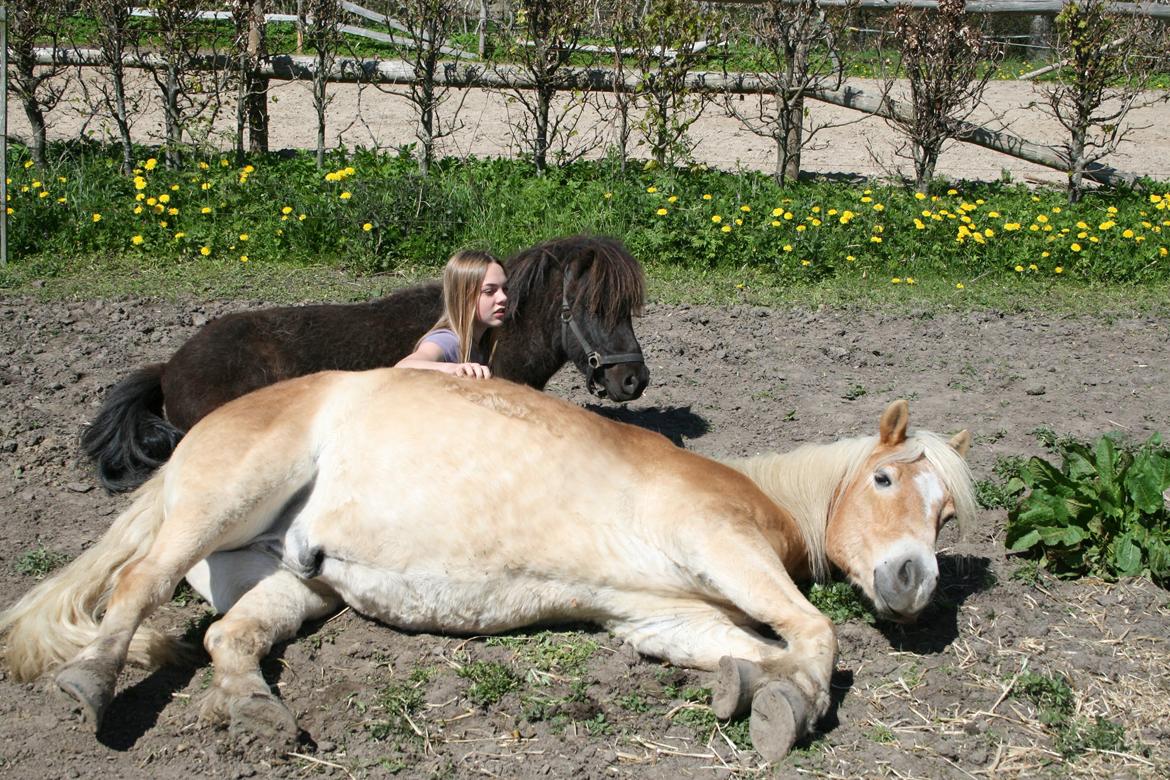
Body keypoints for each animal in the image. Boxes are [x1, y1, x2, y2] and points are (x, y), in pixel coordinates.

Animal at [0, 374, 973, 757]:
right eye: (885, 478)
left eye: (947, 515)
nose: (913, 585)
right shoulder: (717, 544)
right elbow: (814, 638)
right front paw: (789, 709)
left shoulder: (664, 614)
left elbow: (766, 648)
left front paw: (752, 689)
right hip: (225, 500)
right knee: (137, 586)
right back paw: (91, 684)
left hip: (293, 577)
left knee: (228, 640)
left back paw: (258, 717)